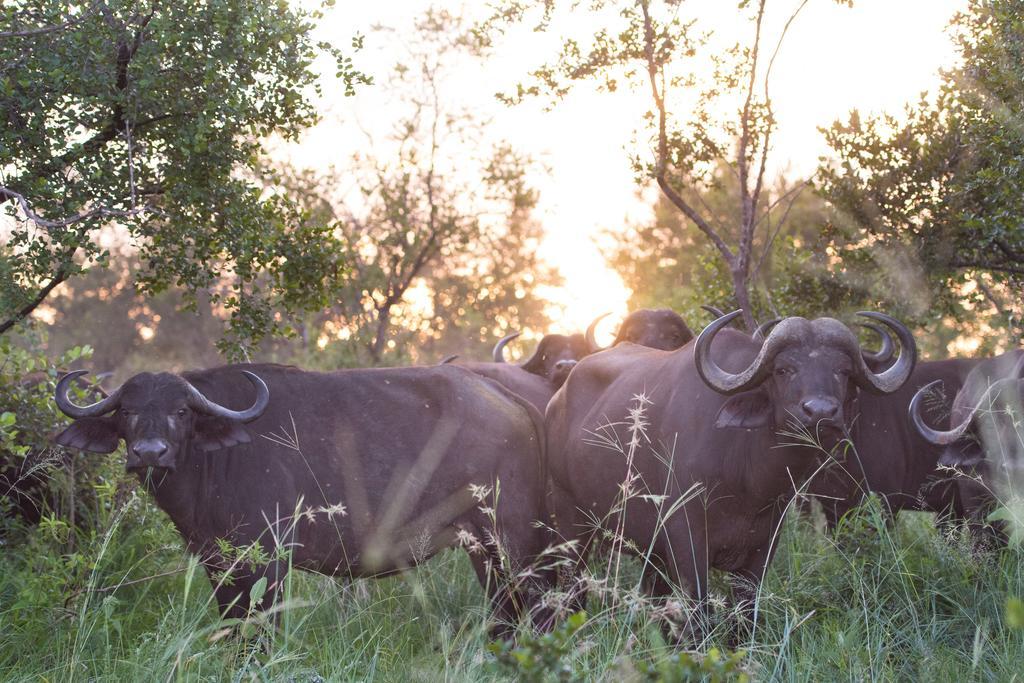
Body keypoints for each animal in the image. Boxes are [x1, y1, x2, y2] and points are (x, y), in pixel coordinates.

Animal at [54, 362, 552, 634]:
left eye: (180, 411)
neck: (215, 459)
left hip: (512, 543)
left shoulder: (269, 562)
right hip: (487, 551)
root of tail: (512, 400)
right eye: (127, 411)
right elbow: (233, 626)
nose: (149, 453)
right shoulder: (217, 563)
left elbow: (261, 630)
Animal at [544, 309, 913, 630]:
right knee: (573, 583)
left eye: (843, 371)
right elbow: (697, 618)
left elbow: (745, 619)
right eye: (783, 370)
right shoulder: (687, 544)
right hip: (571, 521)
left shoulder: (762, 549)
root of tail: (556, 401)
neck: (746, 483)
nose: (821, 412)